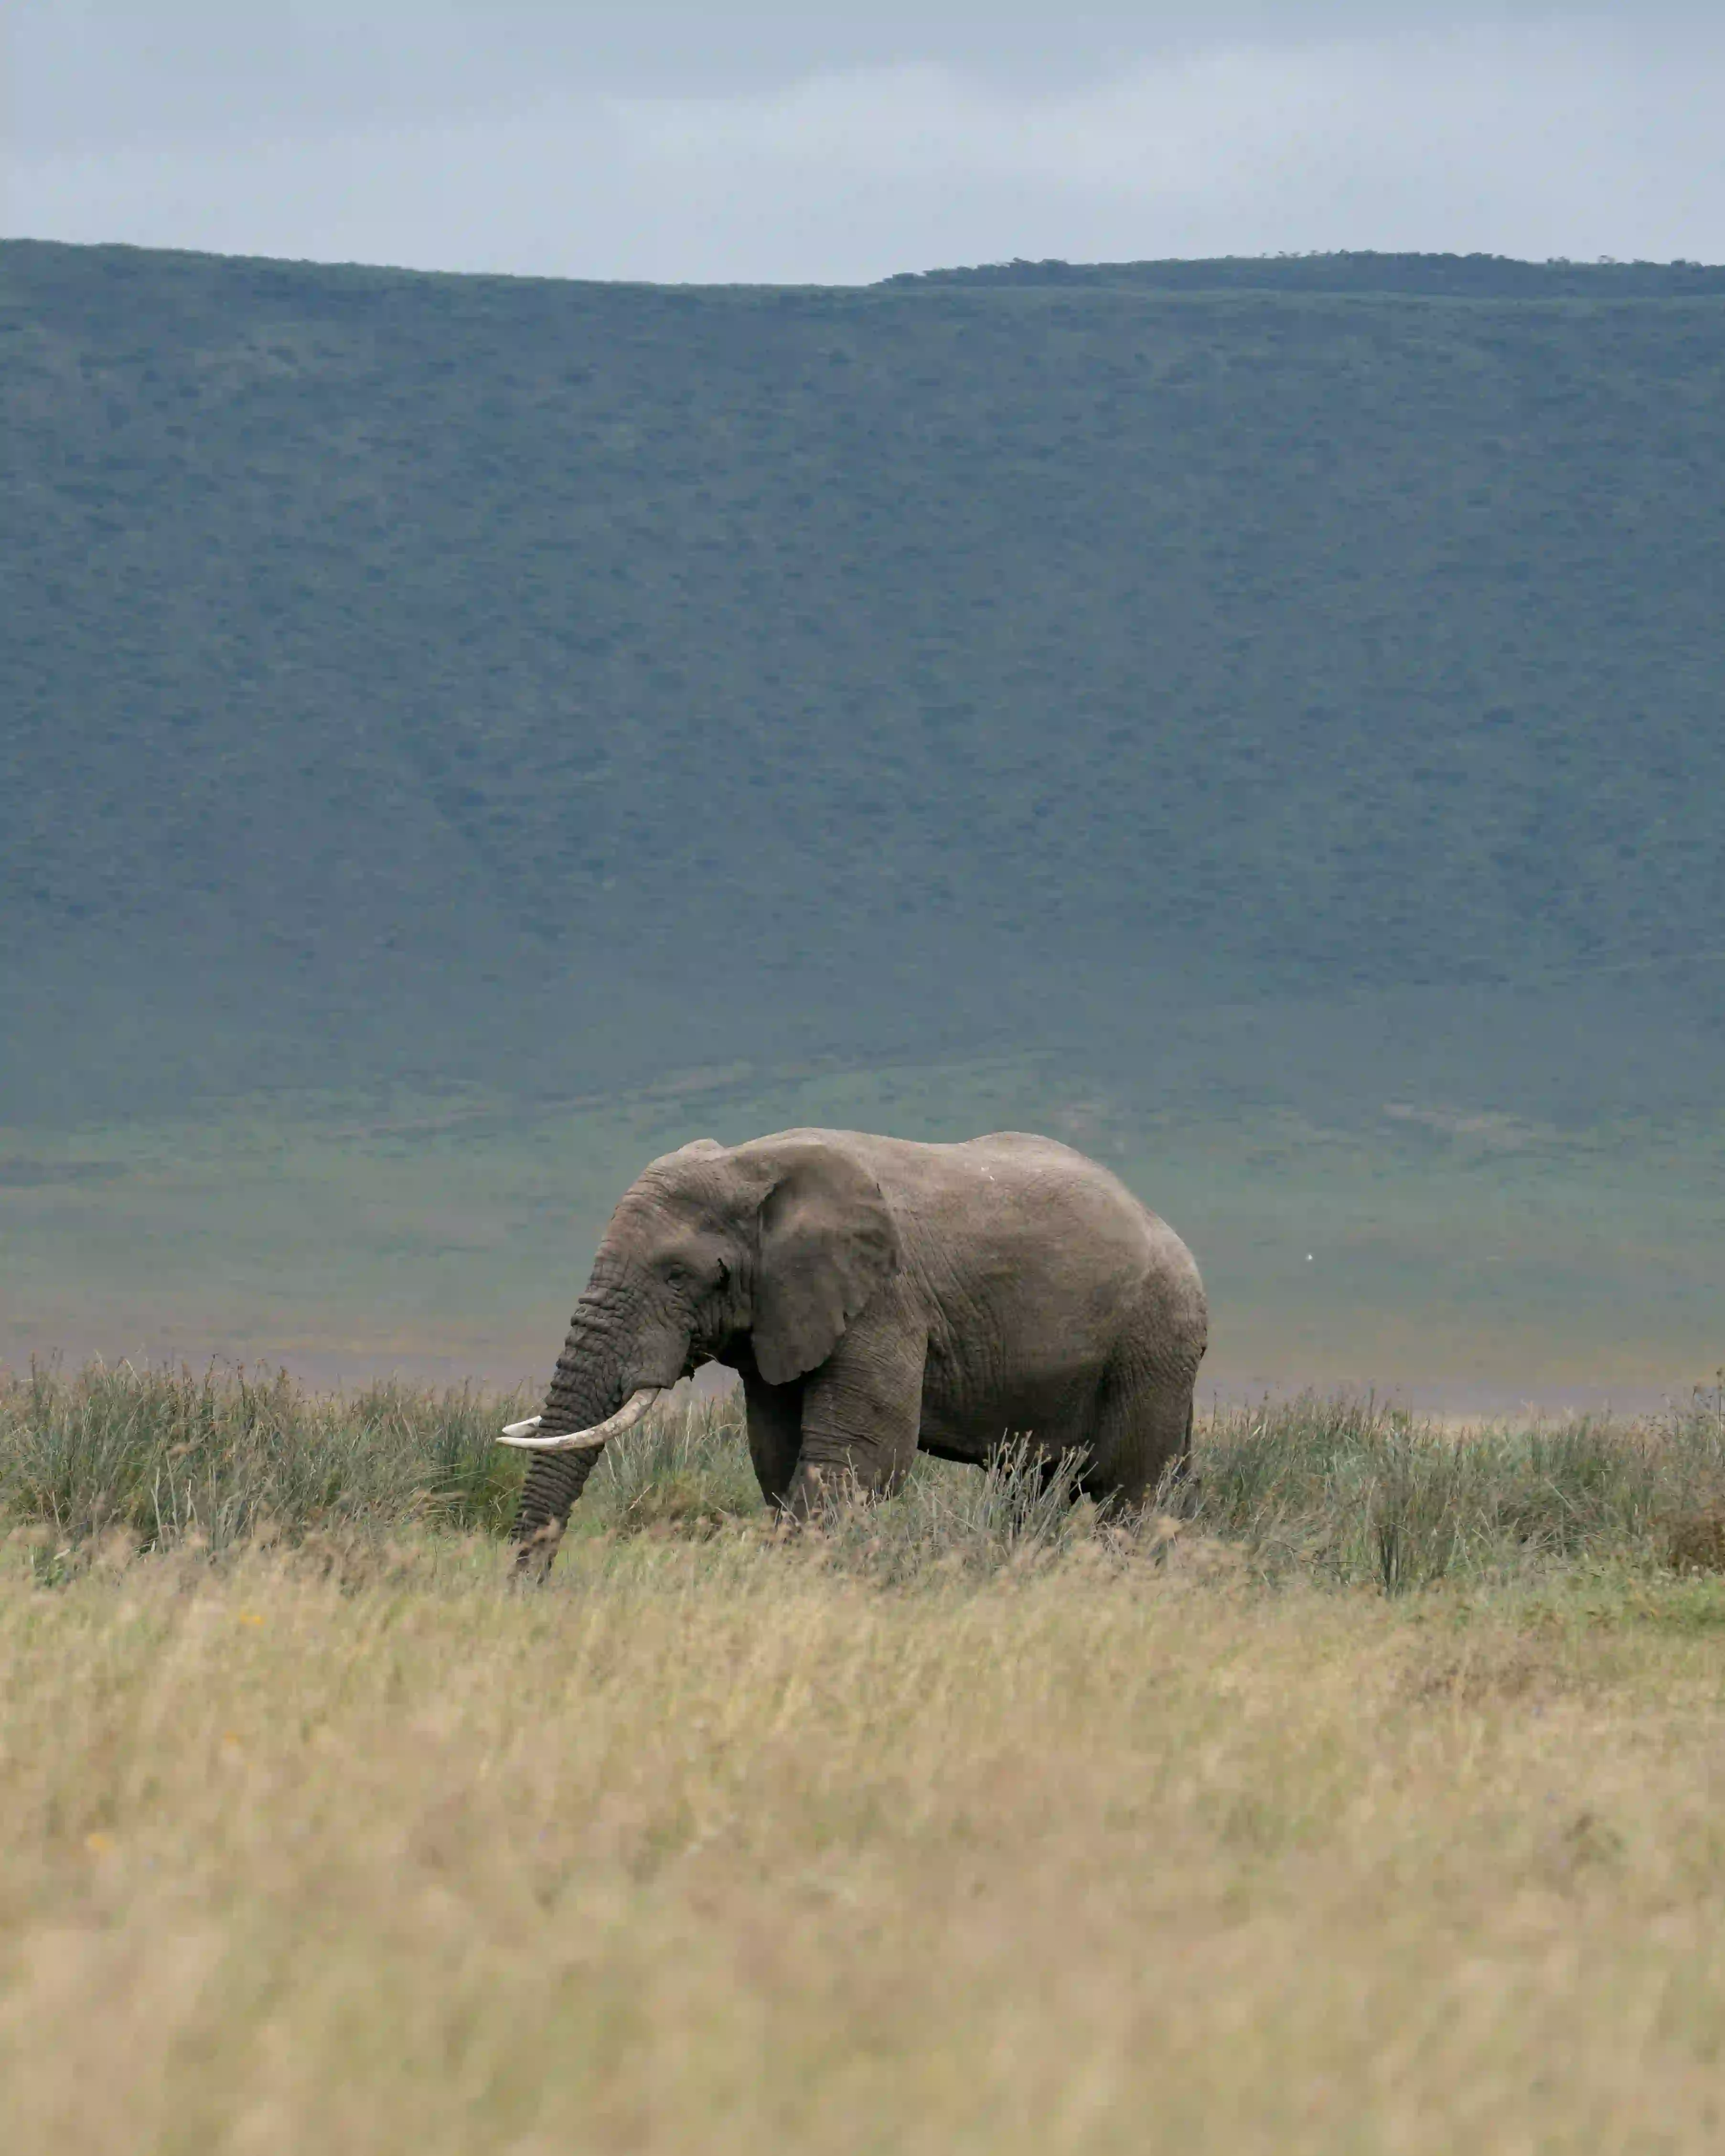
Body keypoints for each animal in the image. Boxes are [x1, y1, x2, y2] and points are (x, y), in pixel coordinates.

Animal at [499, 1127, 1207, 1573]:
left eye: (679, 1275)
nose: (530, 1591)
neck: (751, 1163)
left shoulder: (885, 1301)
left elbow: (857, 1460)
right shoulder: (781, 1317)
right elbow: (778, 1456)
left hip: (1153, 1344)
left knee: (1129, 1494)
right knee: (1029, 1487)